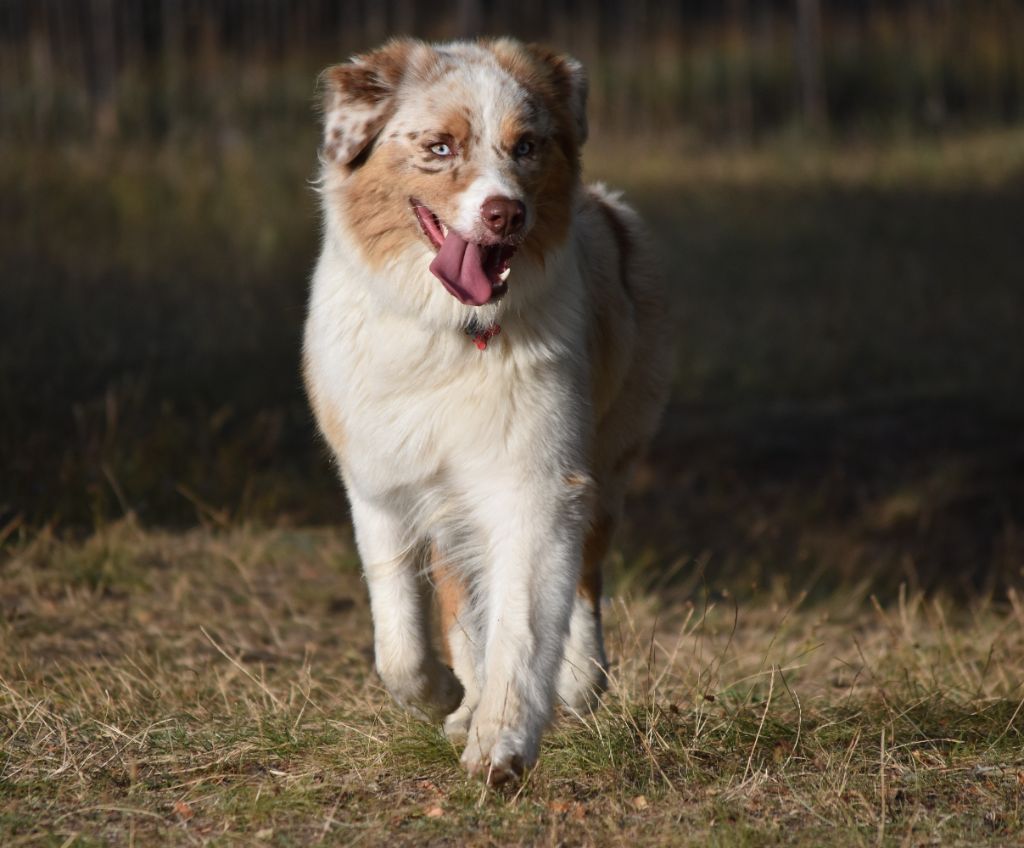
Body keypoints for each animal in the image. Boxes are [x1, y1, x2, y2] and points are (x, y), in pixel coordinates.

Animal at [303, 38, 671, 782]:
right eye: (440, 146)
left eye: (526, 146)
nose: (507, 213)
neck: (448, 332)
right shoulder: (380, 484)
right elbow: (400, 642)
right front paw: (447, 697)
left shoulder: (537, 480)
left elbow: (524, 622)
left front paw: (502, 743)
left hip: (612, 454)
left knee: (583, 576)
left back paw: (578, 679)